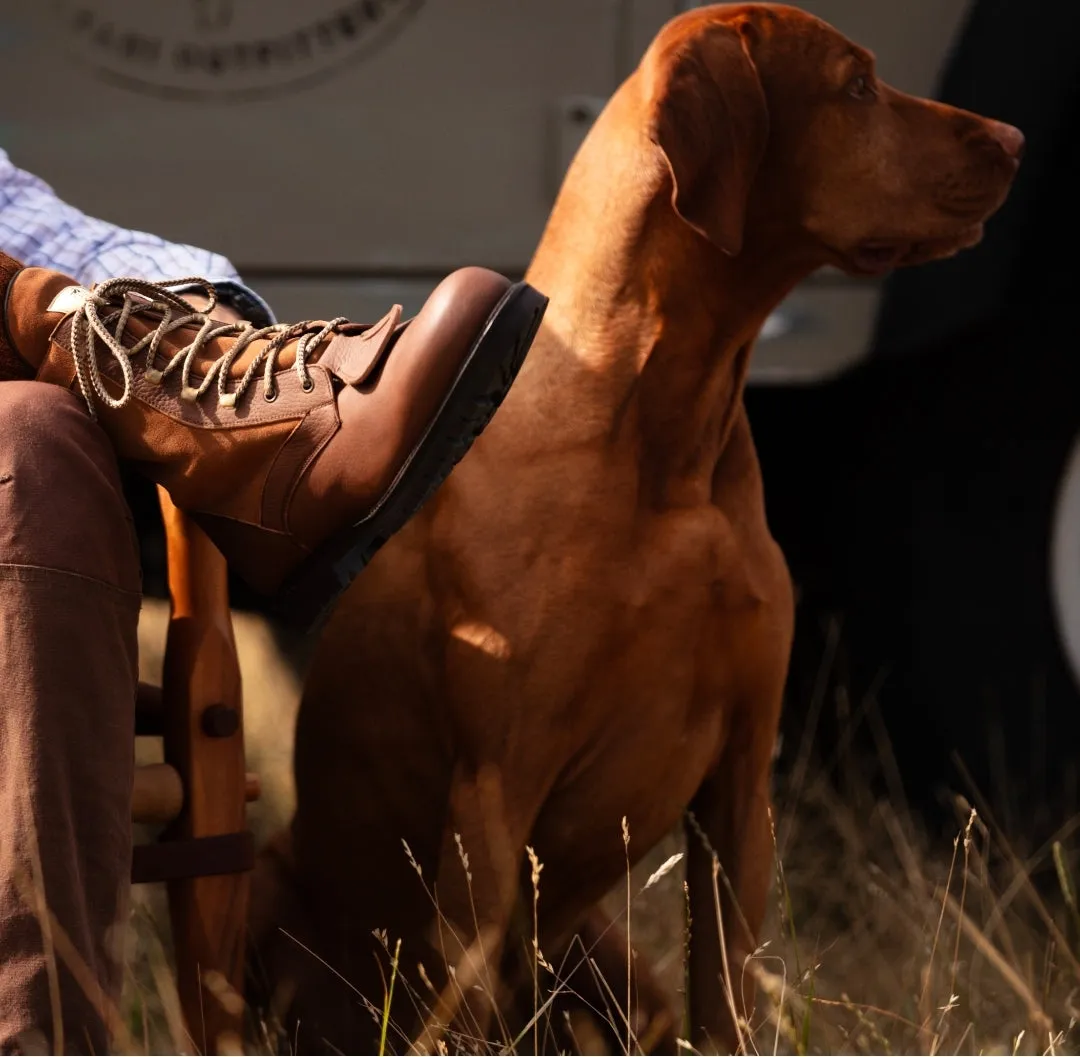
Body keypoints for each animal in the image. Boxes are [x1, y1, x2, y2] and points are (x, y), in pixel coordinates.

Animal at [252, 6, 1019, 1049]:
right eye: (856, 86)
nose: (1017, 140)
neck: (663, 440)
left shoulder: (741, 782)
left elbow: (727, 998)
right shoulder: (493, 798)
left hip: (610, 963)